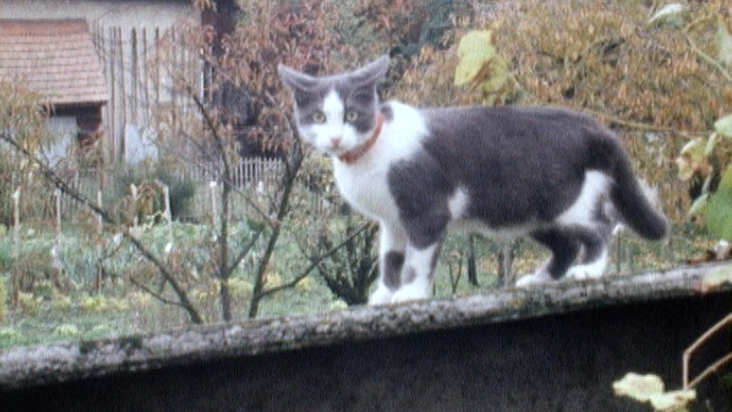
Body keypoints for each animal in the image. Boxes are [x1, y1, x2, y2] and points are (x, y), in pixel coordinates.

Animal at [278, 55, 668, 306]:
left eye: (352, 115)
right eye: (318, 117)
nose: (335, 139)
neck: (370, 151)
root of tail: (592, 126)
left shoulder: (426, 209)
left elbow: (417, 259)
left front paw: (410, 294)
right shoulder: (392, 220)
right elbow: (390, 258)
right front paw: (385, 294)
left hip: (564, 199)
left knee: (600, 226)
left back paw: (588, 271)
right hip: (530, 210)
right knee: (566, 244)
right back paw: (540, 279)